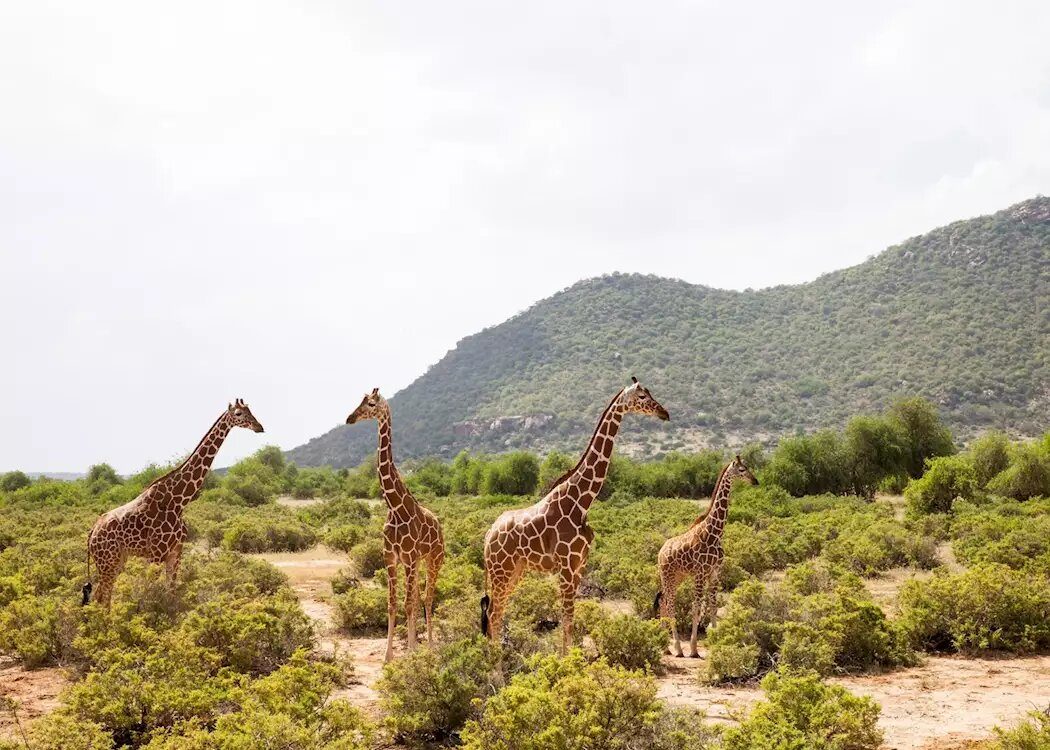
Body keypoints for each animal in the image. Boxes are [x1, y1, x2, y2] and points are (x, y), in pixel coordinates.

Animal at [84, 399, 264, 607]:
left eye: (250, 410)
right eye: (239, 413)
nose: (259, 427)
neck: (179, 501)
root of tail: (91, 533)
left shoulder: (176, 552)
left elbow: (171, 593)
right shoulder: (156, 554)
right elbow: (149, 595)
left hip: (117, 560)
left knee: (102, 596)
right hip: (107, 561)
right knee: (101, 597)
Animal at [346, 388, 444, 663]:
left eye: (371, 404)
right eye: (359, 402)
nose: (349, 418)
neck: (394, 508)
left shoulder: (408, 558)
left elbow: (409, 604)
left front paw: (410, 652)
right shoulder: (391, 558)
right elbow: (392, 604)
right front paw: (388, 655)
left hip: (434, 560)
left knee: (427, 597)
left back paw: (430, 645)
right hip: (418, 562)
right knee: (418, 597)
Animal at [481, 377, 670, 654]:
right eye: (643, 396)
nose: (664, 413)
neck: (581, 502)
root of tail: (488, 535)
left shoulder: (580, 566)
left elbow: (571, 617)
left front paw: (571, 657)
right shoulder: (567, 566)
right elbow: (567, 618)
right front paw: (565, 660)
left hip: (515, 570)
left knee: (497, 610)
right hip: (500, 569)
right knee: (493, 612)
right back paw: (494, 660)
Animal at [654, 455, 757, 657]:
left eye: (748, 467)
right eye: (742, 469)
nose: (755, 481)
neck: (715, 533)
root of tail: (661, 551)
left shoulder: (715, 572)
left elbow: (713, 606)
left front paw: (717, 642)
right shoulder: (700, 573)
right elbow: (696, 607)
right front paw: (694, 649)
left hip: (678, 577)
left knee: (663, 601)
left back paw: (665, 646)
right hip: (667, 575)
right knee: (670, 604)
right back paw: (678, 648)